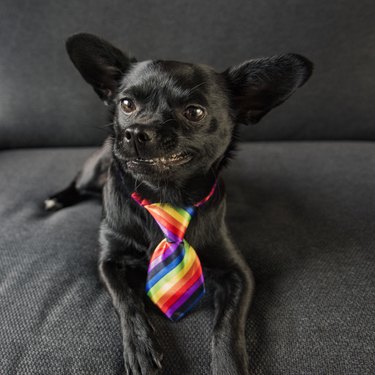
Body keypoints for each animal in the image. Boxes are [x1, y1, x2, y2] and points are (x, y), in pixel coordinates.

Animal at [45, 33, 312, 374]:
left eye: (194, 112)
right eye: (127, 104)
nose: (134, 131)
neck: (165, 196)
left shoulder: (240, 275)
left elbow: (228, 327)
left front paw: (228, 366)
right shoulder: (109, 262)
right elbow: (127, 301)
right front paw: (141, 347)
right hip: (93, 171)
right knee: (76, 183)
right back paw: (56, 199)